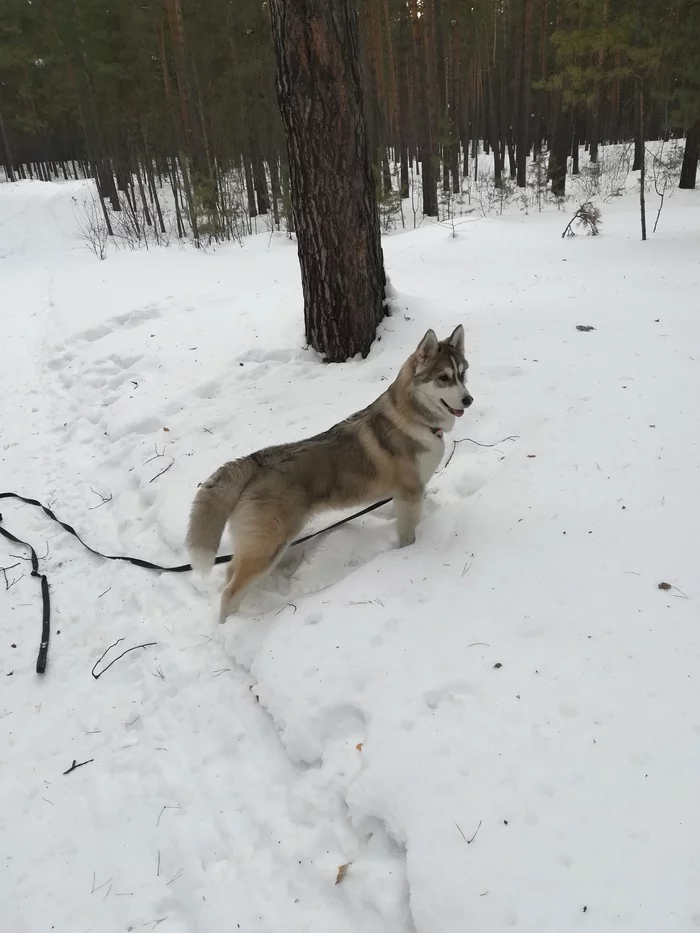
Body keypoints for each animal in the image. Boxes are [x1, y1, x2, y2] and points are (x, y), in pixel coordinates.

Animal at [187, 324, 470, 624]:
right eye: (443, 378)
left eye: (462, 373)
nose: (469, 399)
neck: (412, 419)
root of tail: (255, 460)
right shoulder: (409, 494)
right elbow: (408, 534)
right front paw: (408, 553)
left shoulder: (405, 495)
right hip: (267, 546)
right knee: (229, 592)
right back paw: (227, 626)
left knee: (231, 574)